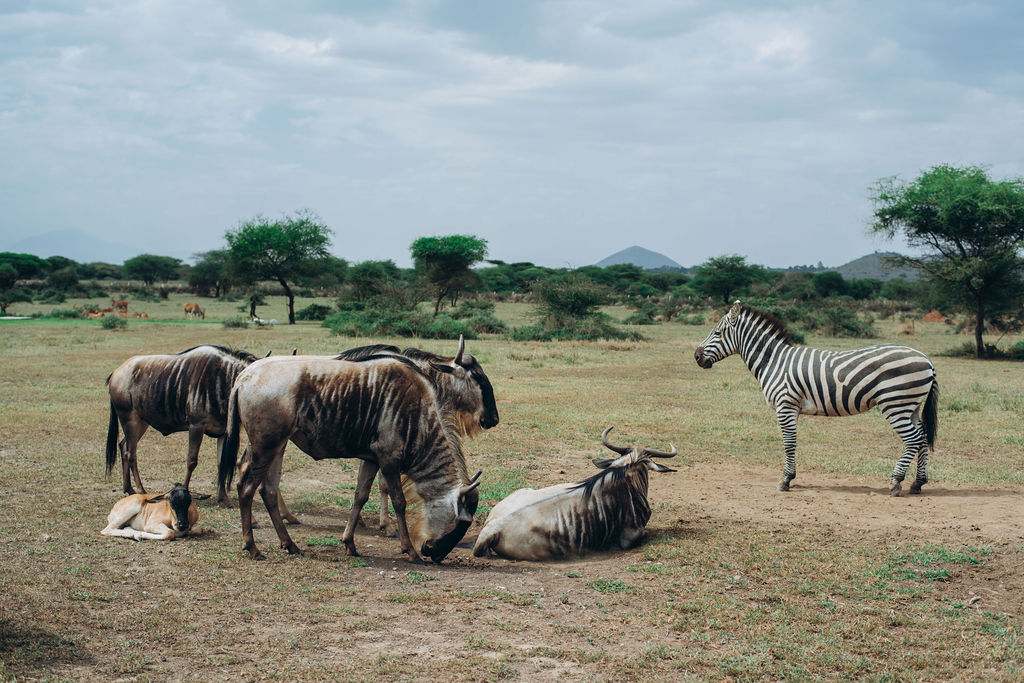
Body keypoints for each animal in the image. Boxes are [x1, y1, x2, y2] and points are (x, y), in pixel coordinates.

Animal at [694, 302, 938, 496]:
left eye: (717, 333)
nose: (696, 356)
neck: (774, 361)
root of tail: (926, 358)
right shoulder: (791, 407)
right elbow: (791, 442)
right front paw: (789, 477)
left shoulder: (785, 405)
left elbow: (788, 443)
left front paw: (785, 480)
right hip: (911, 405)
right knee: (923, 437)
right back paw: (917, 483)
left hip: (895, 403)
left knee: (913, 439)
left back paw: (896, 482)